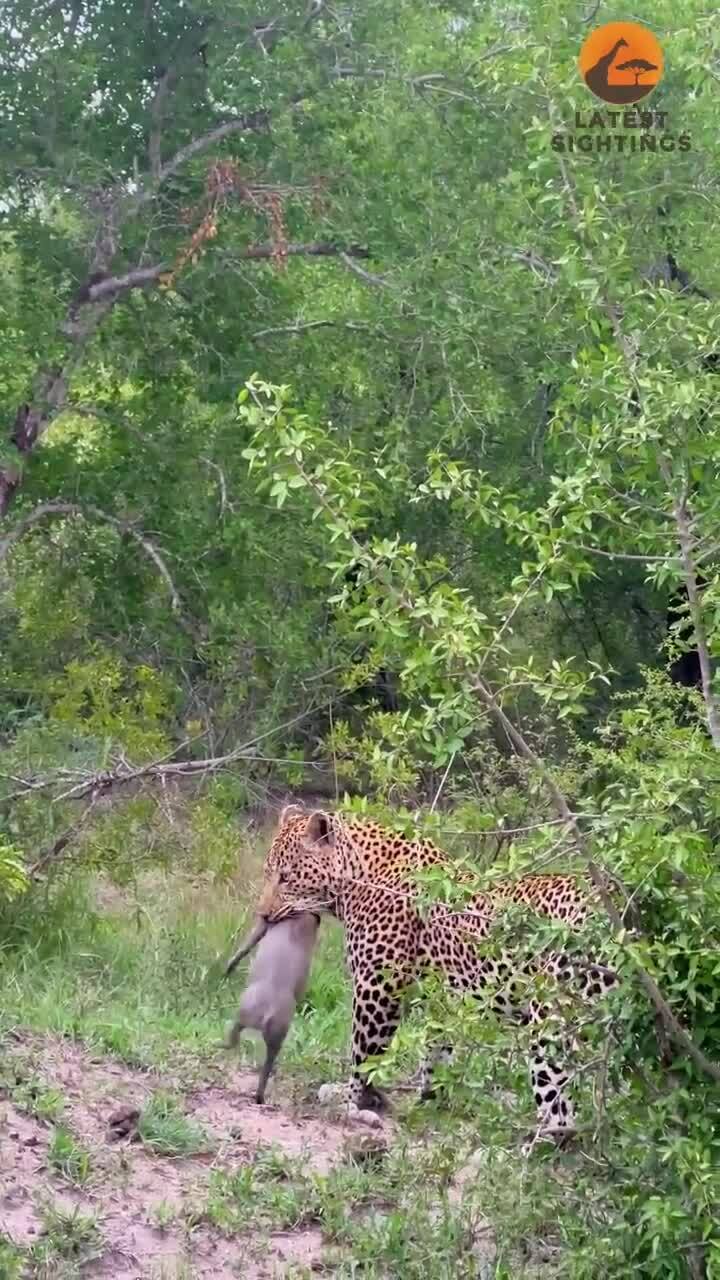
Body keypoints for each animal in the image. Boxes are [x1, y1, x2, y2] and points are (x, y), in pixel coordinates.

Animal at [251, 798, 609, 1141]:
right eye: (267, 872)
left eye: (285, 876)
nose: (263, 914)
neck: (358, 877)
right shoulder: (443, 999)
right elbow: (436, 1050)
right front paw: (430, 1100)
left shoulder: (378, 987)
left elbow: (364, 1052)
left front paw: (349, 1096)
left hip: (550, 1019)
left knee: (559, 1106)